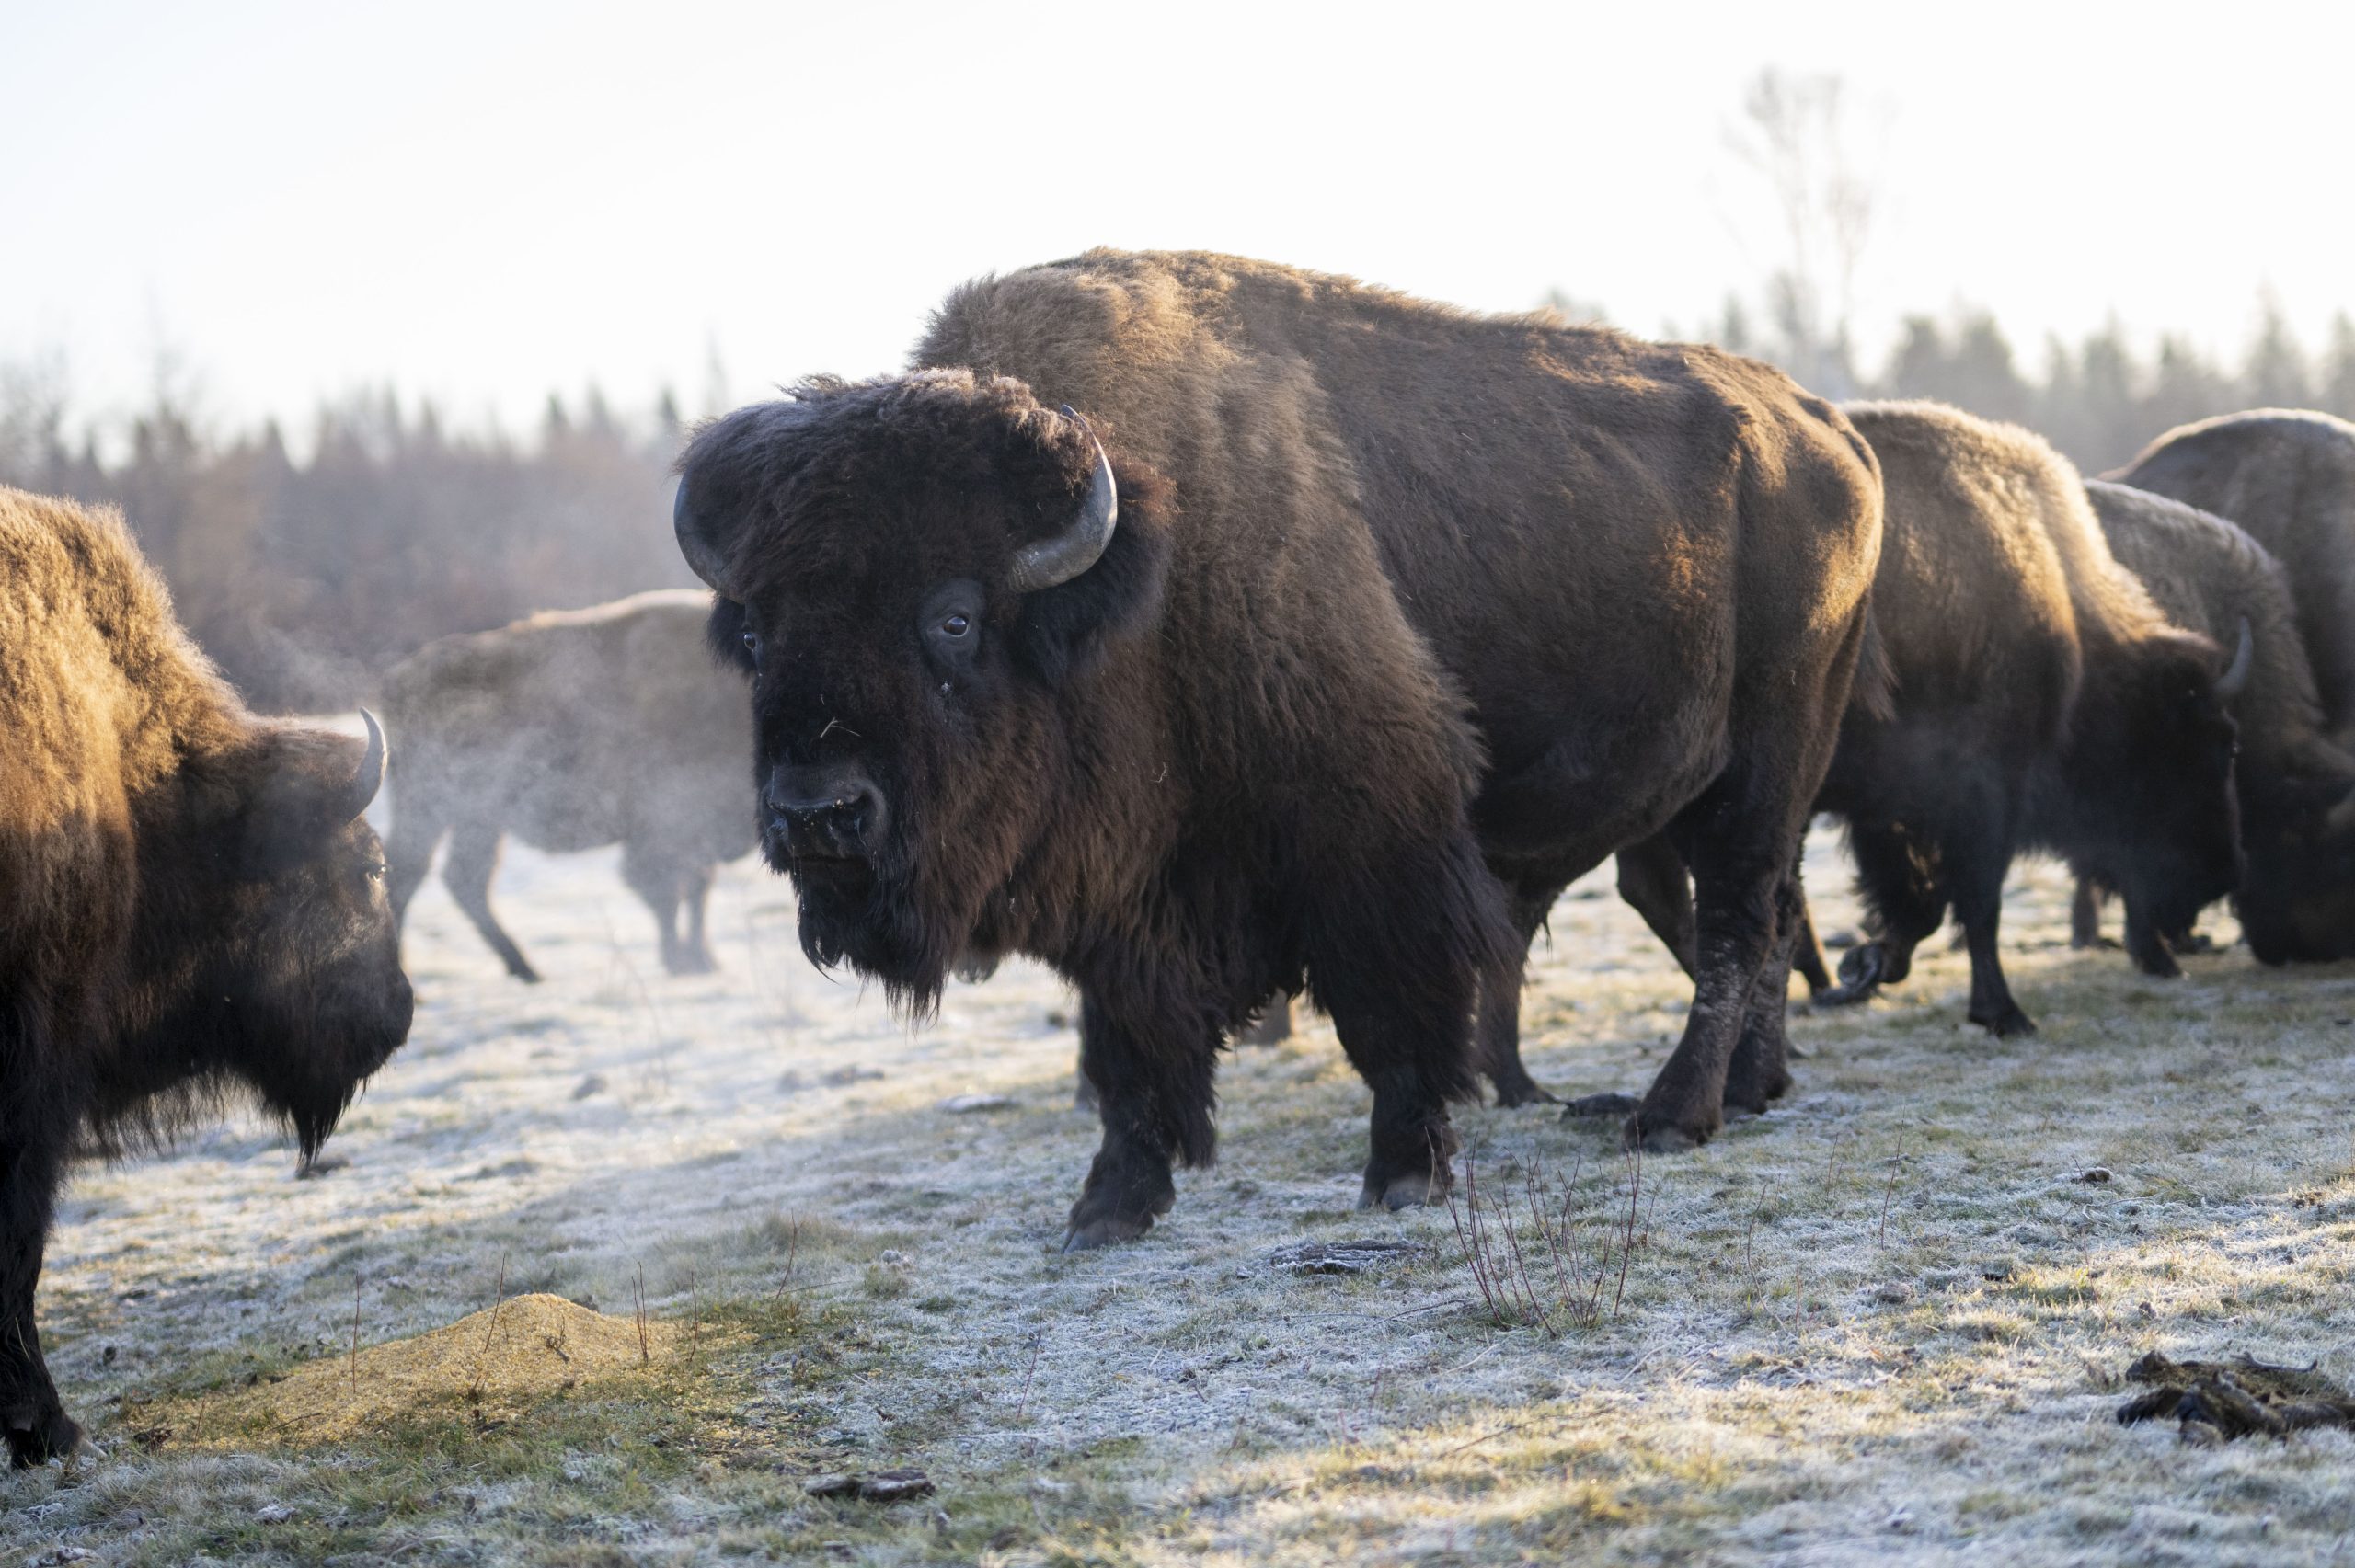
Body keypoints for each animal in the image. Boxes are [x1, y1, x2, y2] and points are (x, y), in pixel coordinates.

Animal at [381, 590, 754, 981]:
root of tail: (399, 677)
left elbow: (697, 888)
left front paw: (703, 960)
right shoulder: (666, 824)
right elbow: (667, 890)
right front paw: (682, 962)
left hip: (480, 818)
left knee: (464, 878)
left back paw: (527, 970)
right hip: (430, 809)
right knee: (407, 873)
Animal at [675, 250, 1881, 1247]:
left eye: (955, 618)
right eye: (758, 631)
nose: (817, 812)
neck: (1144, 575)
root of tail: (1828, 430)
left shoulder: (1375, 842)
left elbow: (1392, 1012)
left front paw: (1402, 1174)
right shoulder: (1125, 899)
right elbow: (1125, 1049)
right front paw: (1108, 1207)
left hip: (1764, 761)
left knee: (1736, 919)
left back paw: (1672, 1115)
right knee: (1770, 916)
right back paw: (1756, 1089)